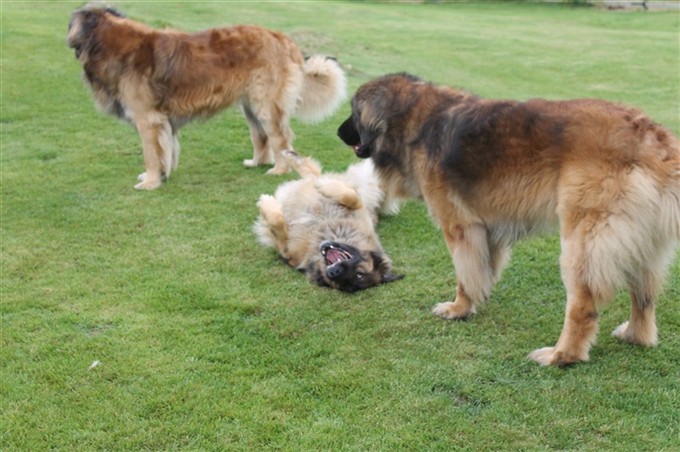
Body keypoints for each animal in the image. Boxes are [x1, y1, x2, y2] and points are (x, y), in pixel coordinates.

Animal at [68, 4, 346, 190]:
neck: (114, 45)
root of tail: (284, 38)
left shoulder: (148, 120)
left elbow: (151, 153)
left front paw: (150, 181)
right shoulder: (163, 122)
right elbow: (167, 150)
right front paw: (161, 175)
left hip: (266, 105)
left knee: (280, 138)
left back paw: (279, 169)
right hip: (250, 107)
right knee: (261, 137)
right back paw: (257, 163)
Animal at [255, 151, 404, 294]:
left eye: (346, 285)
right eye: (360, 273)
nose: (334, 272)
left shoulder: (287, 252)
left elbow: (277, 224)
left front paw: (266, 204)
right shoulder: (360, 208)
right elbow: (352, 197)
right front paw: (326, 186)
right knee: (312, 173)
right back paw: (292, 157)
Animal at [338, 72, 676, 366]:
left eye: (353, 113)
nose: (339, 132)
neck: (415, 120)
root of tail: (652, 136)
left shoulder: (460, 228)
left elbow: (465, 275)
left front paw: (459, 308)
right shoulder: (488, 231)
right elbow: (482, 270)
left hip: (584, 243)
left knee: (583, 305)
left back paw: (561, 355)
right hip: (639, 242)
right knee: (644, 296)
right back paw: (635, 335)